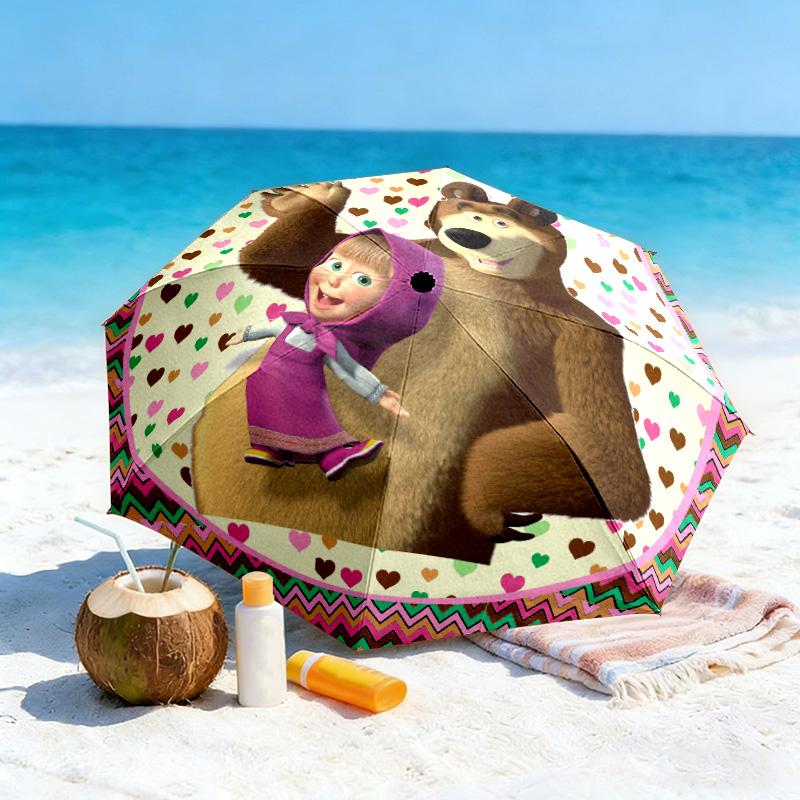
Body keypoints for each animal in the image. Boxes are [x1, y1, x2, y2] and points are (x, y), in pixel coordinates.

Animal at [190, 178, 651, 565]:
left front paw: (486, 510)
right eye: (468, 211)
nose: (467, 236)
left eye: (500, 221)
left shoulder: (581, 336)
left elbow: (605, 455)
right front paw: (322, 194)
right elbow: (278, 262)